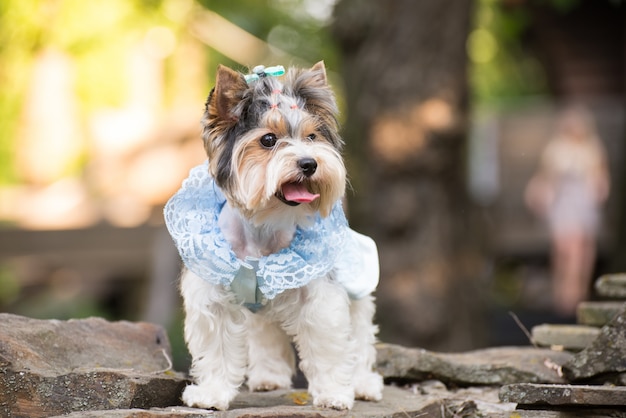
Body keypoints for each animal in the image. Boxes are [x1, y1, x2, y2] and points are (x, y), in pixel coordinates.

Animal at [165, 62, 380, 412]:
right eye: (268, 139)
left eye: (312, 136)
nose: (309, 163)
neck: (263, 224)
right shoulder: (213, 295)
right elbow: (217, 346)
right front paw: (211, 394)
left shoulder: (318, 295)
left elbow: (328, 343)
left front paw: (334, 393)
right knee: (266, 332)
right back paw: (269, 378)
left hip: (357, 287)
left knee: (360, 336)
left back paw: (363, 384)